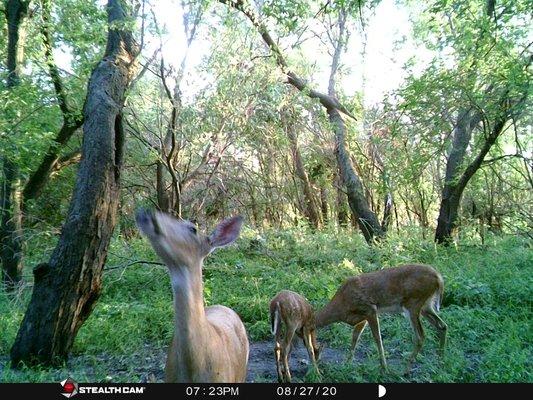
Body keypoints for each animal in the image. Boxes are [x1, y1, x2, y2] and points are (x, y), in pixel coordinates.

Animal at [316, 264, 444, 370]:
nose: (316, 362)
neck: (341, 308)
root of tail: (439, 278)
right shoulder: (362, 318)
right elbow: (355, 337)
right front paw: (347, 363)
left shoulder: (370, 309)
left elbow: (377, 338)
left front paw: (384, 368)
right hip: (426, 305)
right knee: (442, 325)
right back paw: (440, 361)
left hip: (413, 304)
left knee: (420, 336)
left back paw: (406, 370)